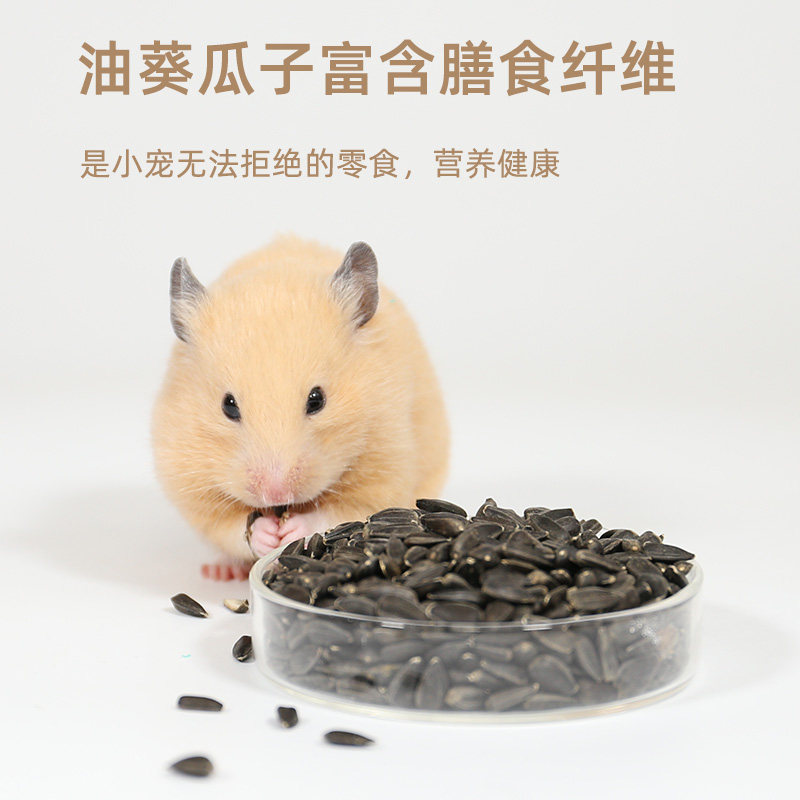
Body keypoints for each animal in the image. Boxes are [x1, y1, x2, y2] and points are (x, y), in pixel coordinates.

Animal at [152, 235, 449, 580]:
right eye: (228, 406)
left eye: (317, 399)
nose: (276, 494)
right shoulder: (189, 480)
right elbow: (227, 524)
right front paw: (268, 534)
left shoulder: (386, 466)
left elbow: (342, 513)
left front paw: (292, 530)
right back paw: (222, 572)